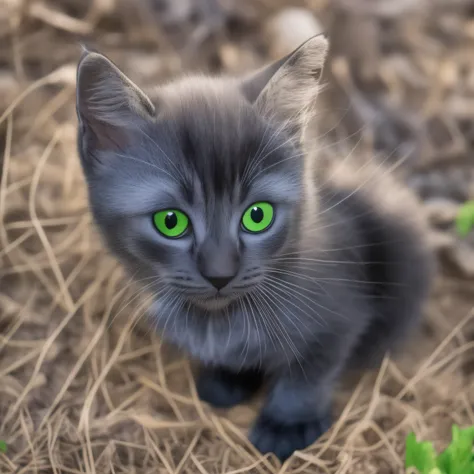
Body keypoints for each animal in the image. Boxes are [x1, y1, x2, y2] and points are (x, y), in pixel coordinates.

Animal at [77, 38, 434, 462]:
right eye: (170, 222)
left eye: (257, 216)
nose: (220, 274)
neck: (221, 320)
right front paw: (228, 377)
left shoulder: (341, 317)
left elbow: (310, 370)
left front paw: (287, 422)